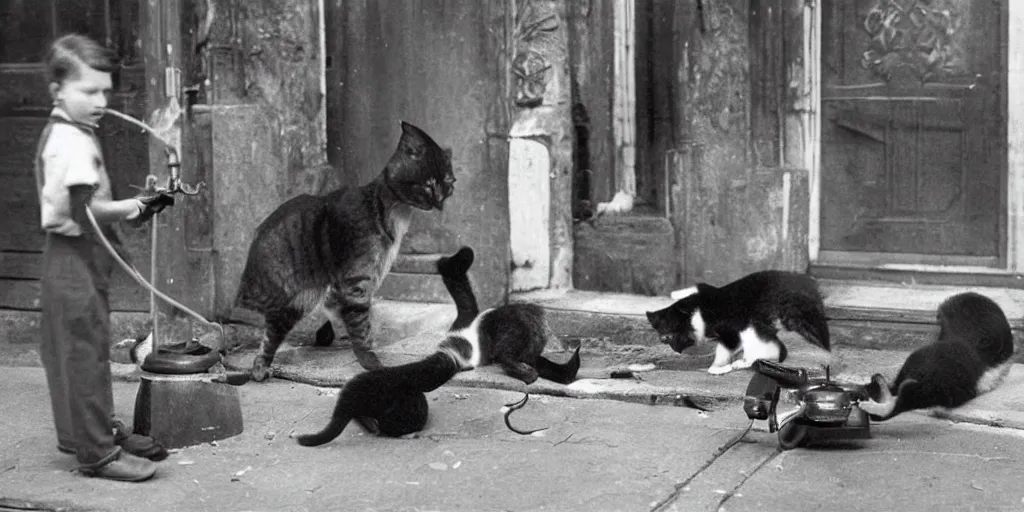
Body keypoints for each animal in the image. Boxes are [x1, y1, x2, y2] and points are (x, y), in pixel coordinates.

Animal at [647, 270, 831, 374]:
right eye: (664, 340)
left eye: (669, 337)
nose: (676, 350)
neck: (697, 313)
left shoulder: (731, 334)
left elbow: (720, 356)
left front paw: (719, 367)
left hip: (753, 330)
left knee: (767, 352)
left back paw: (739, 364)